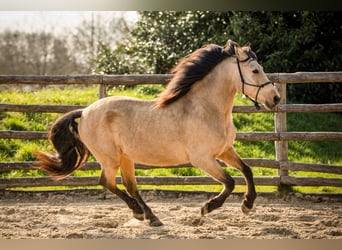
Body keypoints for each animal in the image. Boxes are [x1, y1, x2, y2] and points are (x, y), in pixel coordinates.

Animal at [34, 39, 280, 227]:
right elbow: (229, 182)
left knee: (129, 185)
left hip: (125, 157)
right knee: (106, 182)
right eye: (255, 70)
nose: (275, 98)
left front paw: (247, 205)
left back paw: (149, 216)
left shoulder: (224, 150)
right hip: (110, 158)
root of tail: (84, 112)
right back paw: (141, 213)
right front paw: (207, 208)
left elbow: (247, 171)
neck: (205, 109)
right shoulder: (203, 159)